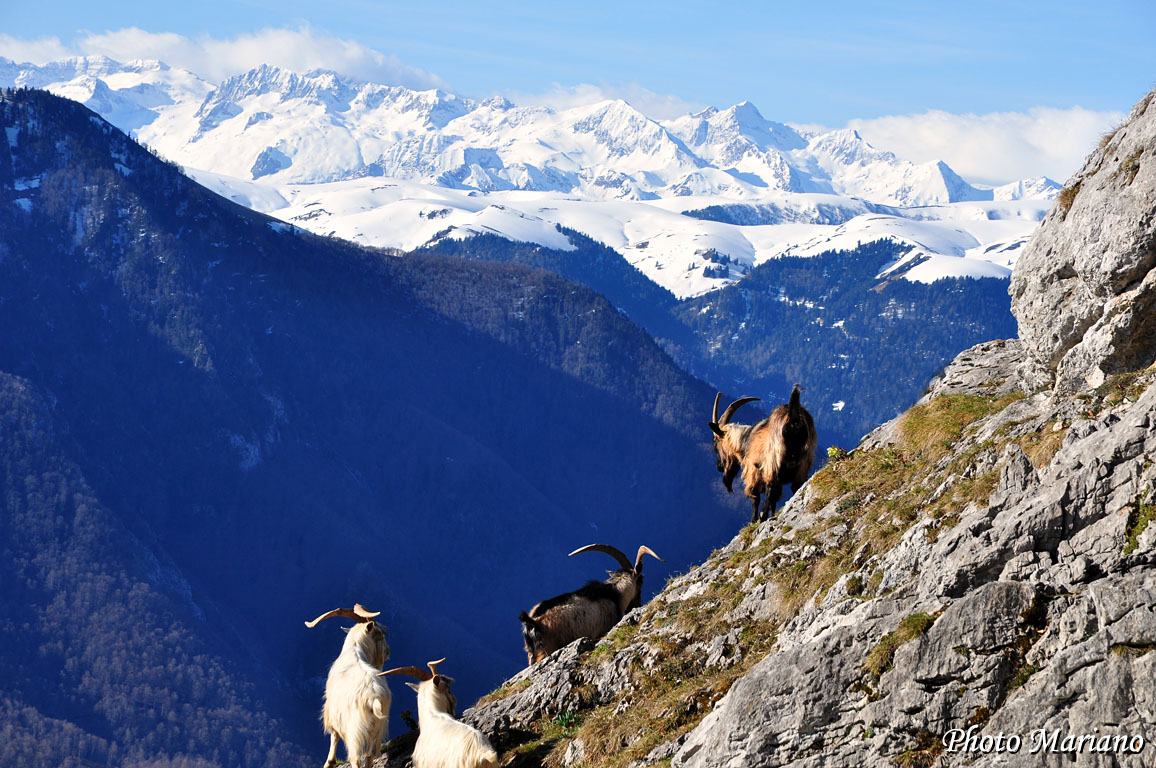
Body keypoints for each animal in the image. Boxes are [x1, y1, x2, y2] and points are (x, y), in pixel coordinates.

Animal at [305, 604, 392, 768]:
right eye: (380, 633)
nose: (388, 652)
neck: (356, 650)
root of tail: (374, 698)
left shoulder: (333, 712)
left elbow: (334, 736)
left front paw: (329, 762)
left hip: (355, 730)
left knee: (355, 757)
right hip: (378, 728)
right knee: (369, 755)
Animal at [518, 544, 663, 666]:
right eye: (641, 581)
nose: (638, 603)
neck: (614, 593)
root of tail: (532, 621)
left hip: (532, 653)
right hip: (546, 649)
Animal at [711, 386, 817, 524]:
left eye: (716, 444)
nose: (719, 467)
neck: (746, 440)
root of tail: (793, 416)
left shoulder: (753, 472)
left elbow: (756, 497)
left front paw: (754, 520)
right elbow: (774, 499)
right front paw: (772, 515)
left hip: (773, 461)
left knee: (770, 487)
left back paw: (762, 517)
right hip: (803, 463)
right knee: (795, 486)